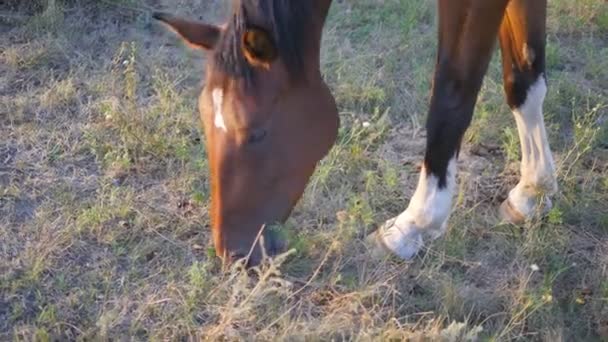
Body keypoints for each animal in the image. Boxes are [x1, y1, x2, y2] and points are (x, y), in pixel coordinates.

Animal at [154, 0, 560, 266]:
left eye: (256, 132)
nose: (232, 252)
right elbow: (523, 77)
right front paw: (533, 191)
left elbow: (452, 94)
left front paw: (412, 226)